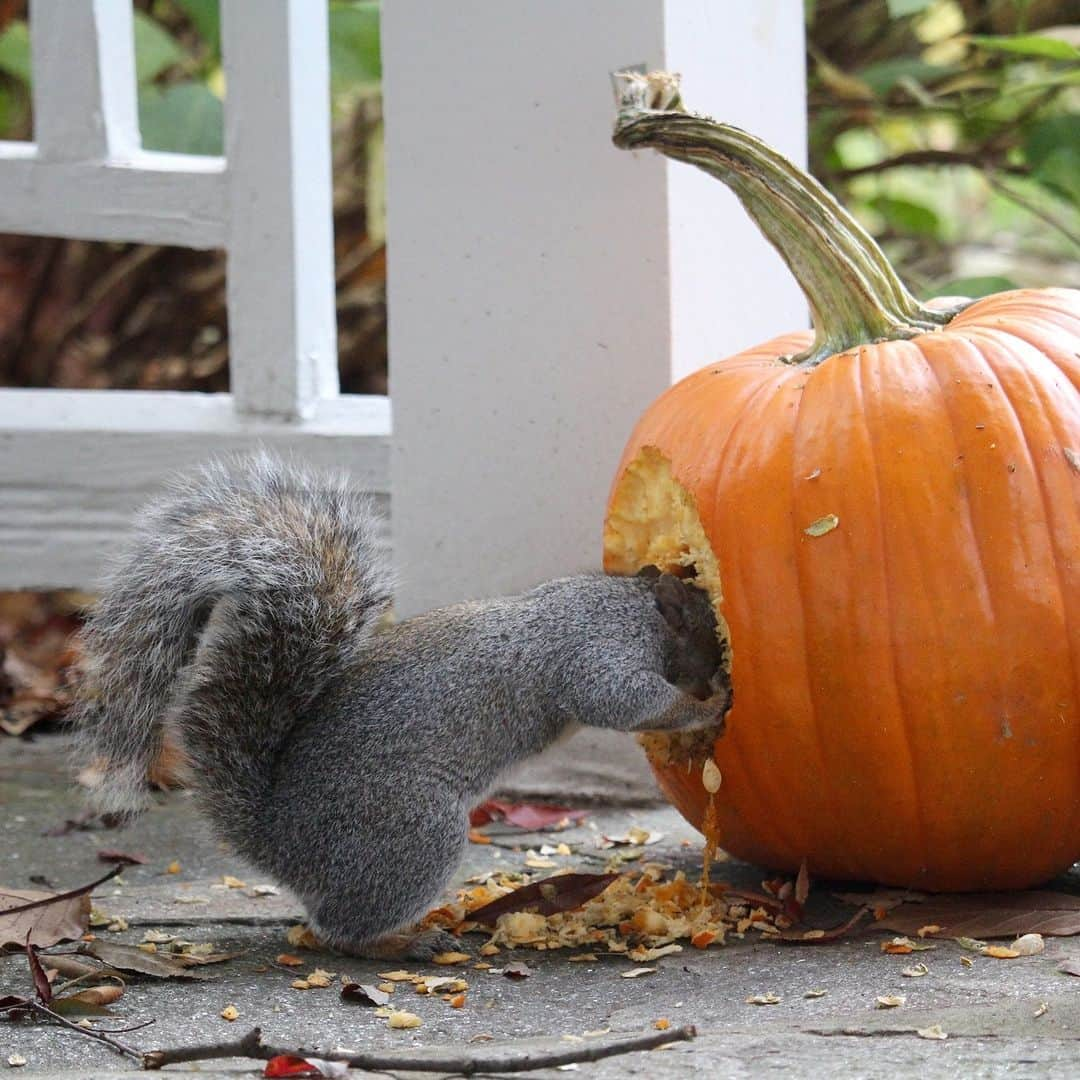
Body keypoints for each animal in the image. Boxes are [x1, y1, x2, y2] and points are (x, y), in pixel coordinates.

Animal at [71, 451, 730, 959]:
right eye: (707, 628)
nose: (725, 668)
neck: (637, 605)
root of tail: (282, 848)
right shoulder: (596, 649)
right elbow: (622, 699)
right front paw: (708, 704)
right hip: (412, 831)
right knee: (342, 933)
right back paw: (402, 942)